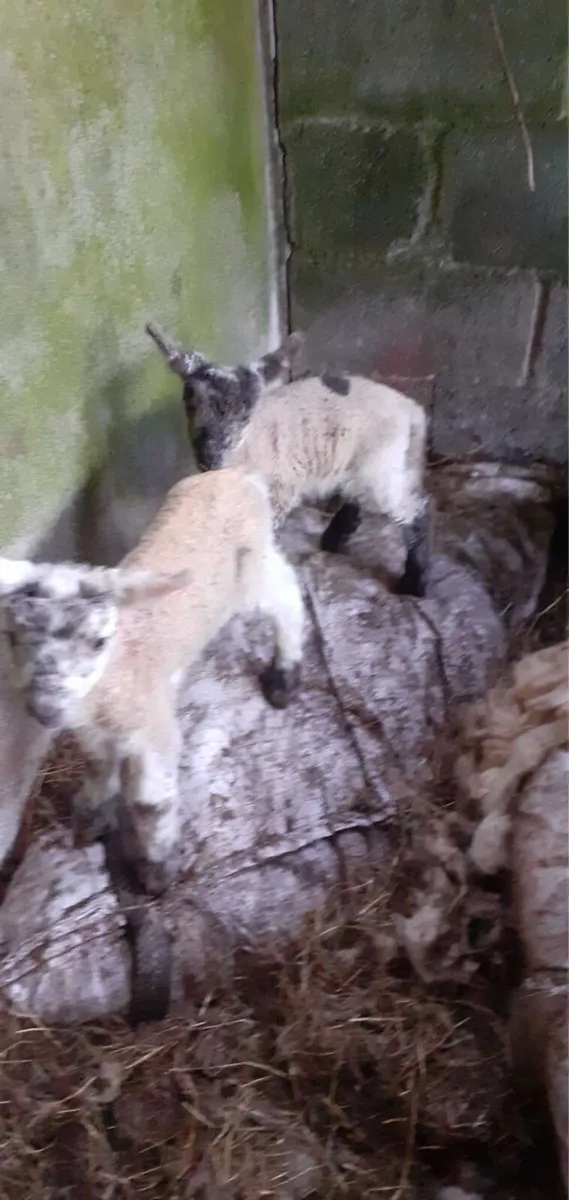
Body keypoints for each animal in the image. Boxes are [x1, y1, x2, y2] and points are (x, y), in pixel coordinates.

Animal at [0, 467, 305, 894]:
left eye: (98, 641)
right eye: (12, 636)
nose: (45, 708)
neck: (116, 673)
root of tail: (238, 474)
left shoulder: (152, 731)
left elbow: (150, 803)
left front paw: (155, 869)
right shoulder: (95, 730)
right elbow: (97, 763)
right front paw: (92, 814)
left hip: (253, 567)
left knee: (287, 597)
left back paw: (284, 674)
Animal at [146, 323, 430, 597]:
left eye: (246, 412)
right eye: (189, 402)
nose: (210, 456)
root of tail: (411, 409)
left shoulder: (278, 492)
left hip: (380, 465)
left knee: (414, 510)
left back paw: (413, 582)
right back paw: (334, 539)